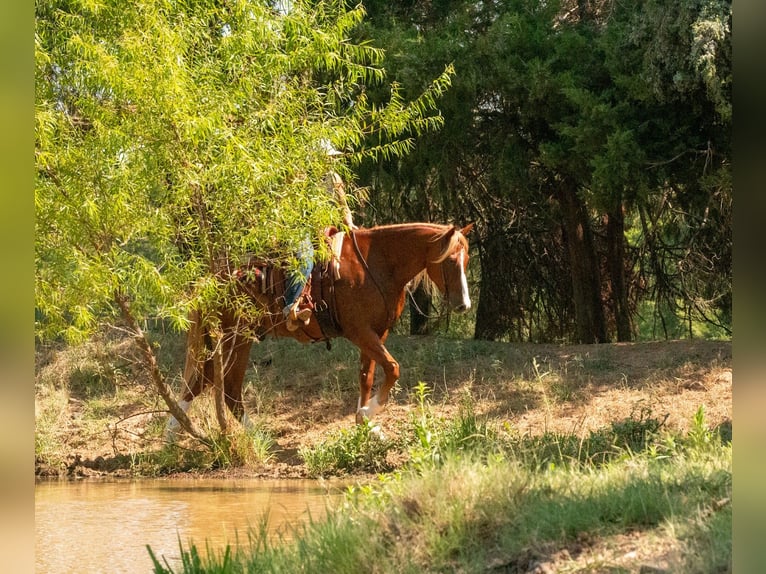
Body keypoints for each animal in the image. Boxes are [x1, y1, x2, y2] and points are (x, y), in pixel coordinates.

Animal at [166, 222, 474, 437]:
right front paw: (367, 414)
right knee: (214, 385)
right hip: (233, 338)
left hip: (236, 340)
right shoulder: (359, 332)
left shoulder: (376, 333)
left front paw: (365, 423)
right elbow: (393, 367)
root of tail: (211, 281)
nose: (464, 305)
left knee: (215, 386)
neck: (378, 264)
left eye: (467, 260)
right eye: (450, 261)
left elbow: (367, 376)